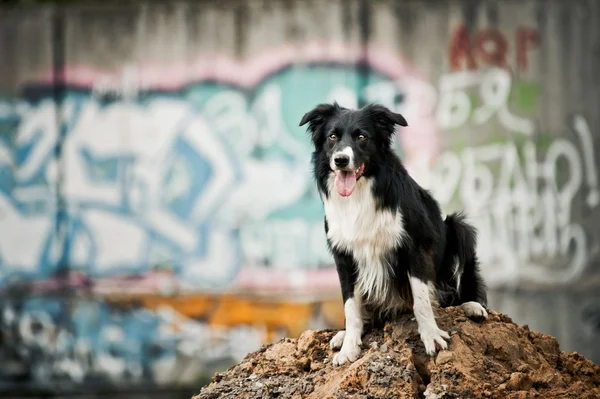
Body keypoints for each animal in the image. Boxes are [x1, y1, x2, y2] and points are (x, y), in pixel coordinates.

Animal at [298, 102, 488, 366]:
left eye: (362, 137)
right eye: (332, 137)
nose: (341, 160)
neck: (360, 193)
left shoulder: (416, 246)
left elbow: (421, 300)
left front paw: (431, 336)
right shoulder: (344, 257)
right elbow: (350, 307)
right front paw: (349, 348)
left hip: (460, 229)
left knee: (458, 292)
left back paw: (473, 307)